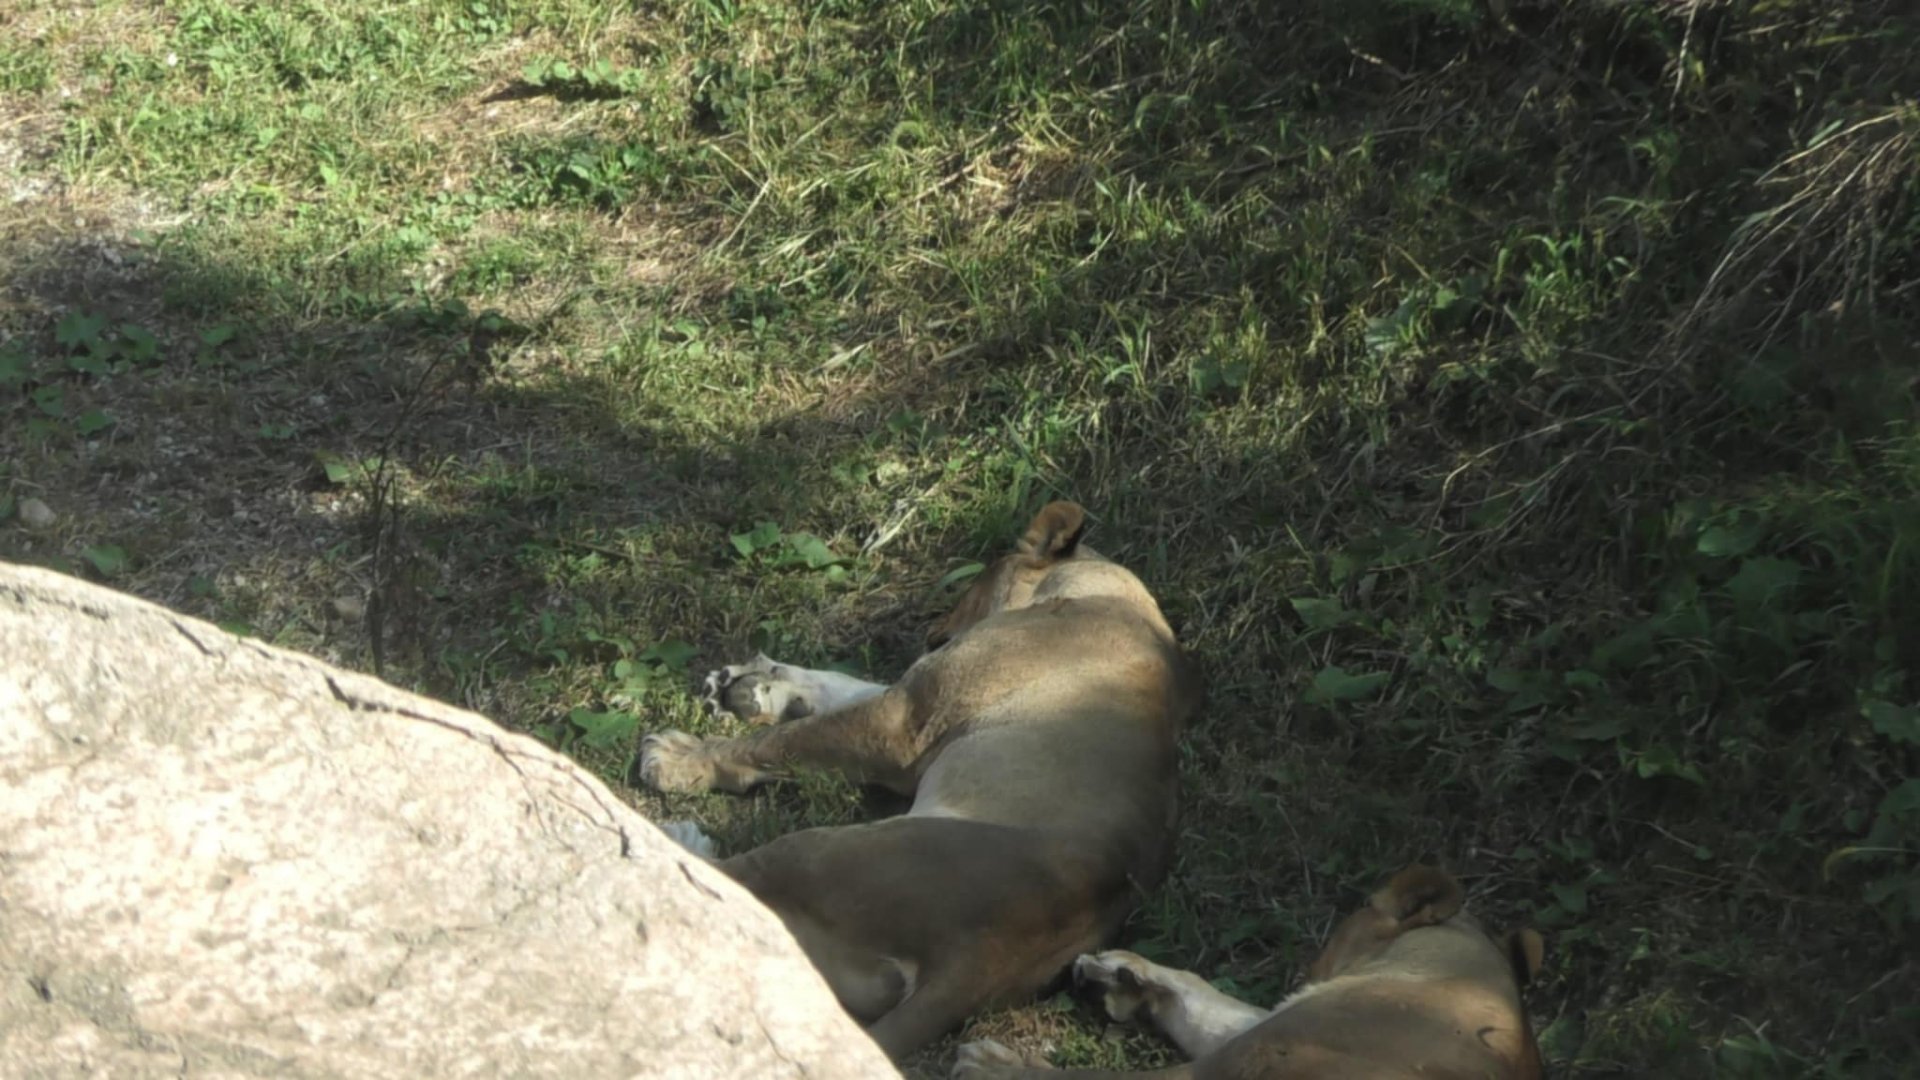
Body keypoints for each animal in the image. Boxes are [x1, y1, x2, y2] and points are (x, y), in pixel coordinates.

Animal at [635, 501, 1203, 1059]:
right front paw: (753, 684)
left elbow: (787, 740)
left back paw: (670, 846)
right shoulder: (911, 699)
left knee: (734, 882)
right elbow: (840, 688)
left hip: (825, 848)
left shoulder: (903, 725)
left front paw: (682, 757)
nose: (930, 630)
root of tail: (980, 964)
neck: (1108, 597)